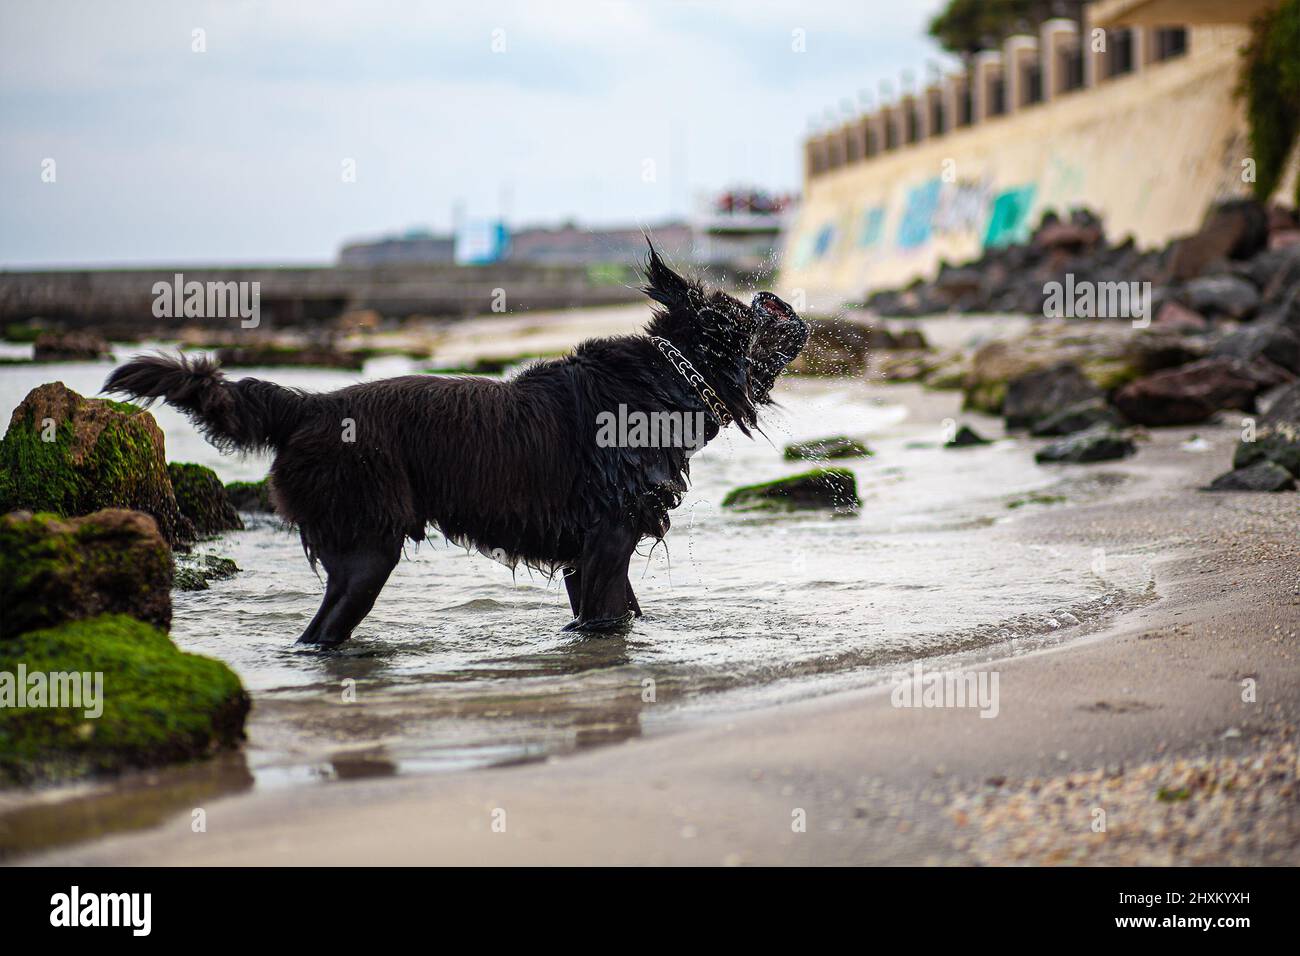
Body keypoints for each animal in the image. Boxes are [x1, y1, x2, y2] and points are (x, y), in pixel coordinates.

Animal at [109, 251, 800, 647]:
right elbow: (604, 619)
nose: (778, 299)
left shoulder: (589, 555)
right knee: (321, 631)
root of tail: (308, 407)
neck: (661, 381)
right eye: (745, 317)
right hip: (367, 548)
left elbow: (620, 612)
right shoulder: (607, 543)